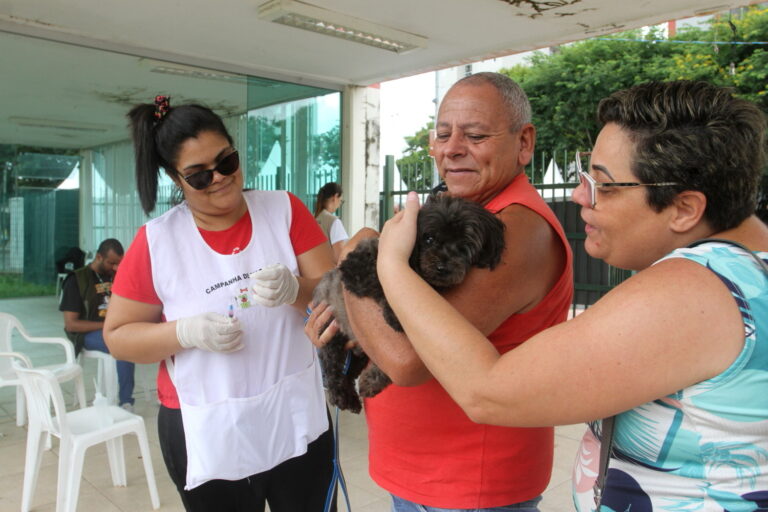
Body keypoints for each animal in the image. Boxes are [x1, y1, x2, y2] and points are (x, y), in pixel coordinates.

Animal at [312, 194, 504, 414]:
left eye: (464, 244)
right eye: (429, 238)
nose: (443, 267)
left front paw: (372, 381)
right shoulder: (355, 269)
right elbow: (381, 279)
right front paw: (395, 315)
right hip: (332, 329)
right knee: (332, 365)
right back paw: (341, 396)